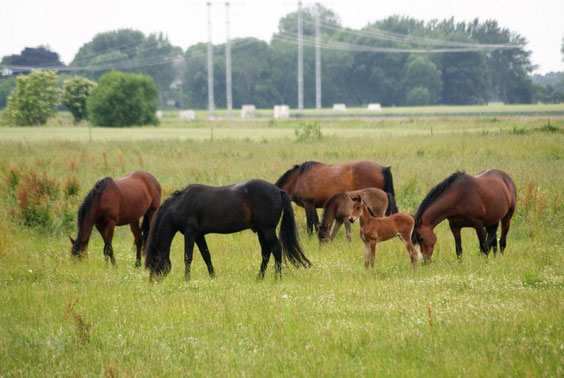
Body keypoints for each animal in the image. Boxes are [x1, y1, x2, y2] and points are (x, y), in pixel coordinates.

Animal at [145, 178, 310, 280]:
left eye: (154, 263)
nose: (153, 282)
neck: (181, 205)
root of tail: (278, 191)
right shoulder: (199, 235)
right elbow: (206, 256)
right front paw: (213, 277)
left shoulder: (190, 233)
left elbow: (188, 256)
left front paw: (187, 279)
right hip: (261, 231)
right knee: (266, 252)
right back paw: (259, 278)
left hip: (268, 229)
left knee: (276, 249)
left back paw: (277, 278)